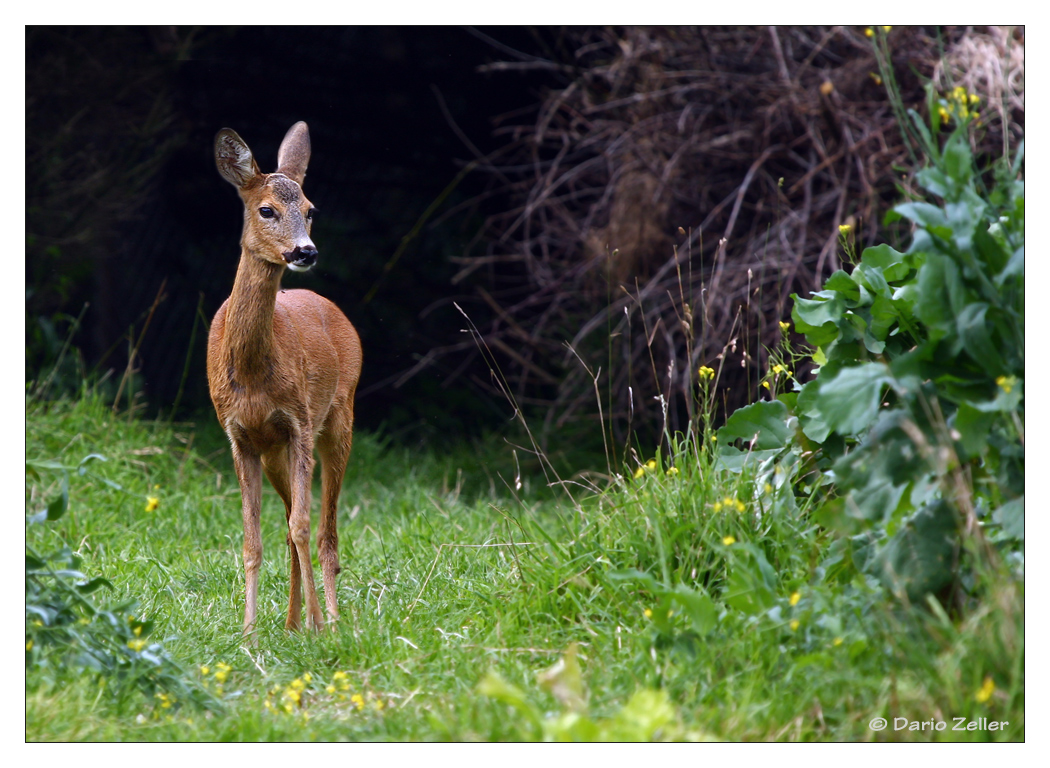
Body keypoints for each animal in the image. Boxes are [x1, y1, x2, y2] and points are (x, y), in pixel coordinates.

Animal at [206, 122, 363, 642]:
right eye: (266, 209)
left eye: (311, 209)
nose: (305, 251)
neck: (254, 375)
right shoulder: (239, 436)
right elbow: (253, 540)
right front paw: (249, 631)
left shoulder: (298, 424)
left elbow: (302, 526)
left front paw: (319, 623)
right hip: (276, 453)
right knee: (291, 522)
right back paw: (294, 622)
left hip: (338, 419)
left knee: (323, 530)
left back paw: (328, 619)